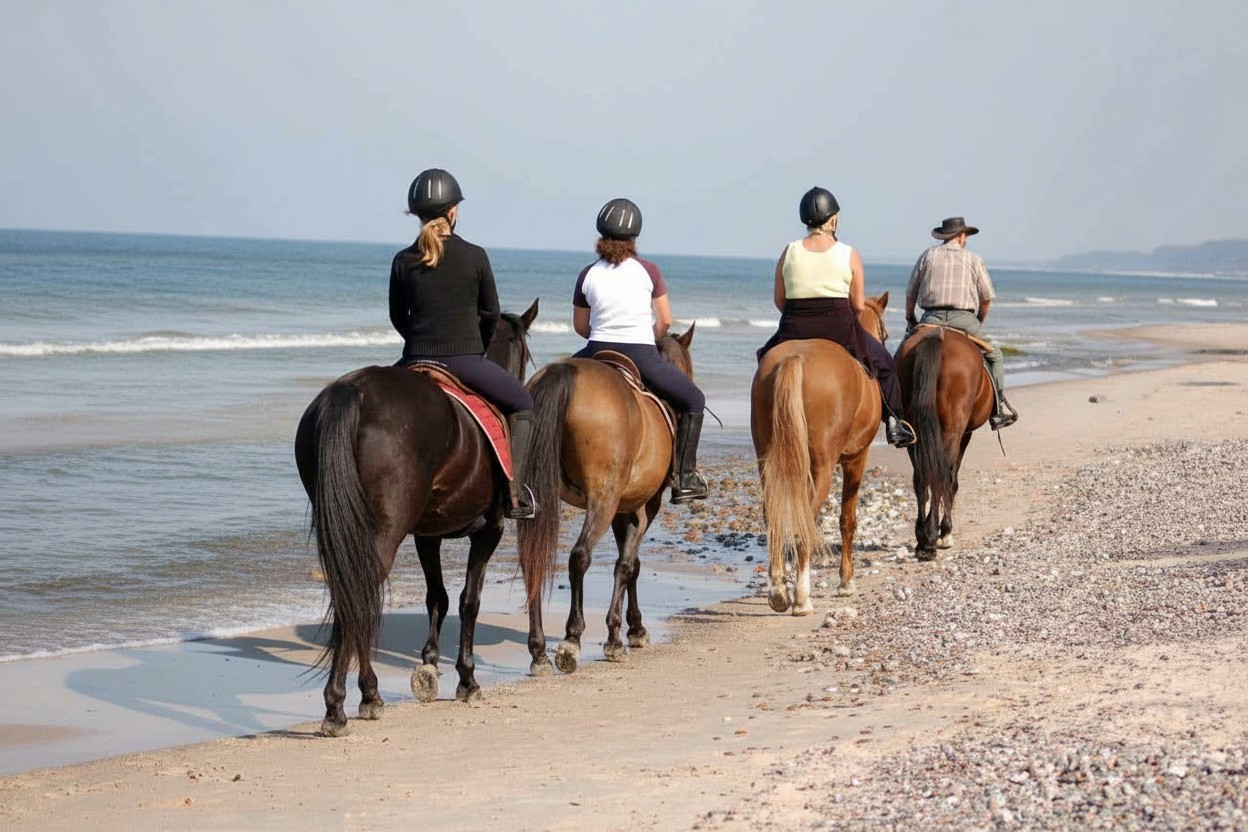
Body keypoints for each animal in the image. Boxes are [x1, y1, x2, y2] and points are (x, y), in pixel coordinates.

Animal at [293, 300, 538, 736]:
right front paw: (466, 680)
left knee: (350, 594)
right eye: (524, 353)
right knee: (361, 595)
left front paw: (429, 666)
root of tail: (352, 392)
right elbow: (469, 600)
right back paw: (345, 704)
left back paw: (362, 696)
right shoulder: (489, 531)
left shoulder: (427, 535)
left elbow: (437, 597)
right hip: (385, 531)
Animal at [516, 326, 697, 676]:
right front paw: (619, 635)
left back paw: (538, 651)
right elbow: (627, 565)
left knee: (532, 559)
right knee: (579, 556)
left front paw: (633, 628)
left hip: (537, 498)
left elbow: (630, 563)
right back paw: (571, 640)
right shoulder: (644, 507)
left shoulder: (622, 510)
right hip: (603, 498)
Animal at [749, 293, 893, 613]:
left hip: (768, 461)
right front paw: (846, 582)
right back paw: (802, 598)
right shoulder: (857, 459)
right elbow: (847, 520)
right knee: (805, 520)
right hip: (823, 468)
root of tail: (796, 358)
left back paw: (778, 592)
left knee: (773, 514)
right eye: (886, 334)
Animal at [893, 324, 994, 560]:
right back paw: (934, 536)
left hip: (914, 429)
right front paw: (945, 532)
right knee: (942, 476)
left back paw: (922, 539)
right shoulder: (964, 434)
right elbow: (952, 479)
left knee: (921, 478)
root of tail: (936, 336)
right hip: (952, 429)